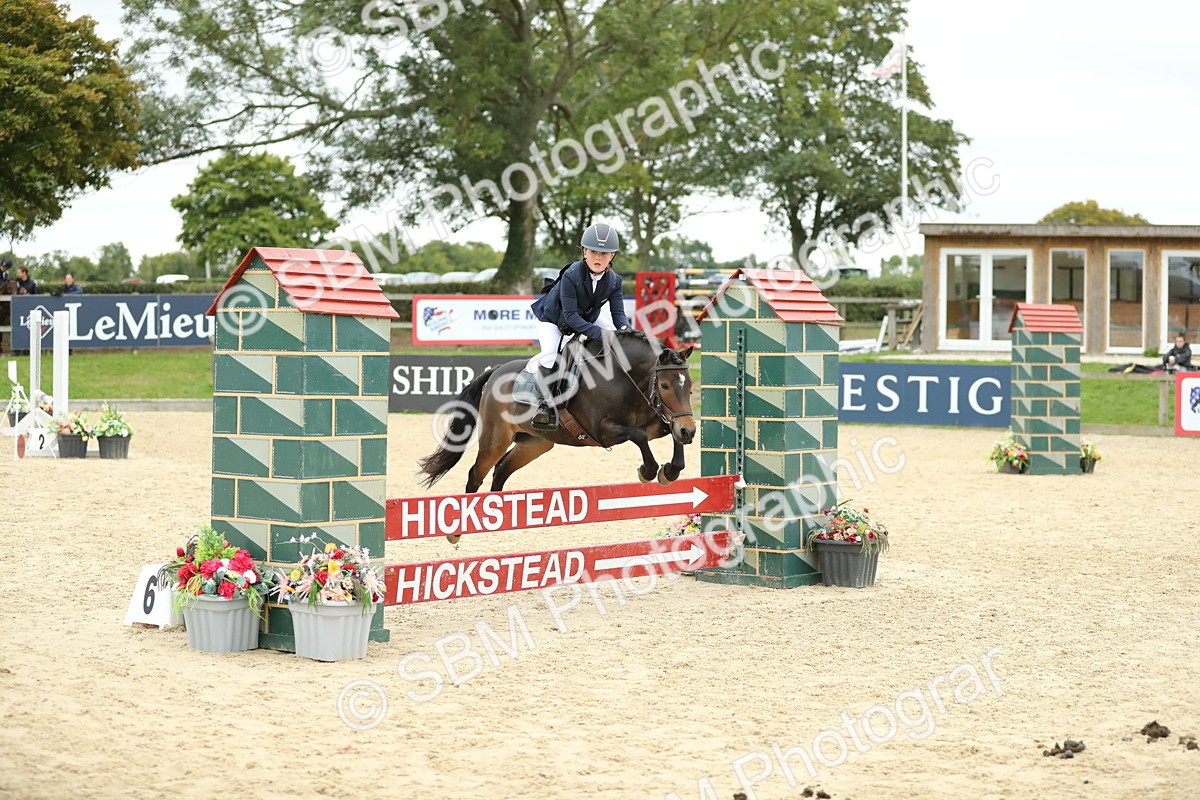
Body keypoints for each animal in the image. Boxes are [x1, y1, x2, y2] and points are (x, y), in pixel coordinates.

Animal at [418, 330, 697, 495]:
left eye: (690, 385)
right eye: (665, 385)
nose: (690, 431)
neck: (625, 379)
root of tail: (496, 371)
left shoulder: (658, 422)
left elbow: (669, 434)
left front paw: (670, 471)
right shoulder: (603, 431)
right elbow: (638, 435)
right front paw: (647, 471)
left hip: (534, 443)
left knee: (501, 470)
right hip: (495, 440)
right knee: (476, 474)